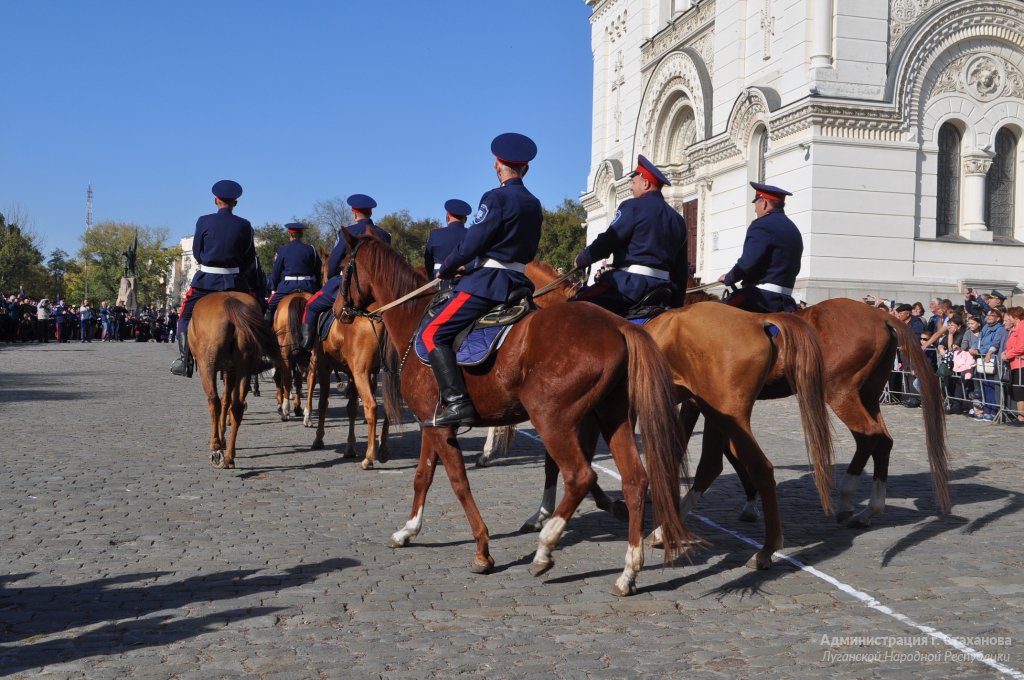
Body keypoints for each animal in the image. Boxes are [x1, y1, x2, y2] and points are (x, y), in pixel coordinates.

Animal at [189, 288, 282, 471]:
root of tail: (228, 300)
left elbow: (222, 402)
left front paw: (220, 439)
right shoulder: (231, 369)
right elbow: (227, 401)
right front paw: (224, 434)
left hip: (207, 367)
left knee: (214, 402)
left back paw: (216, 449)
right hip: (244, 366)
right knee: (236, 405)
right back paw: (229, 456)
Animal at [270, 290, 309, 419]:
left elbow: (279, 378)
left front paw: (280, 404)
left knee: (286, 378)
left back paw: (285, 409)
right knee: (298, 380)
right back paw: (296, 407)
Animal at [303, 246, 391, 471]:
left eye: (322, 269)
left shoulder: (324, 367)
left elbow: (323, 403)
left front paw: (318, 438)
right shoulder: (353, 373)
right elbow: (351, 408)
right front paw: (350, 446)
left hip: (360, 373)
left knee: (372, 406)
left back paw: (369, 457)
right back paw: (382, 449)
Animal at [339, 233, 692, 593]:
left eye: (341, 270)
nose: (340, 312)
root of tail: (617, 325)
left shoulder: (440, 427)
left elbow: (458, 481)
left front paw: (482, 549)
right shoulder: (431, 422)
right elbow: (422, 476)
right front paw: (407, 530)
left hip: (551, 419)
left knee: (580, 475)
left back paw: (546, 547)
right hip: (611, 416)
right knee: (635, 480)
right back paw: (628, 570)